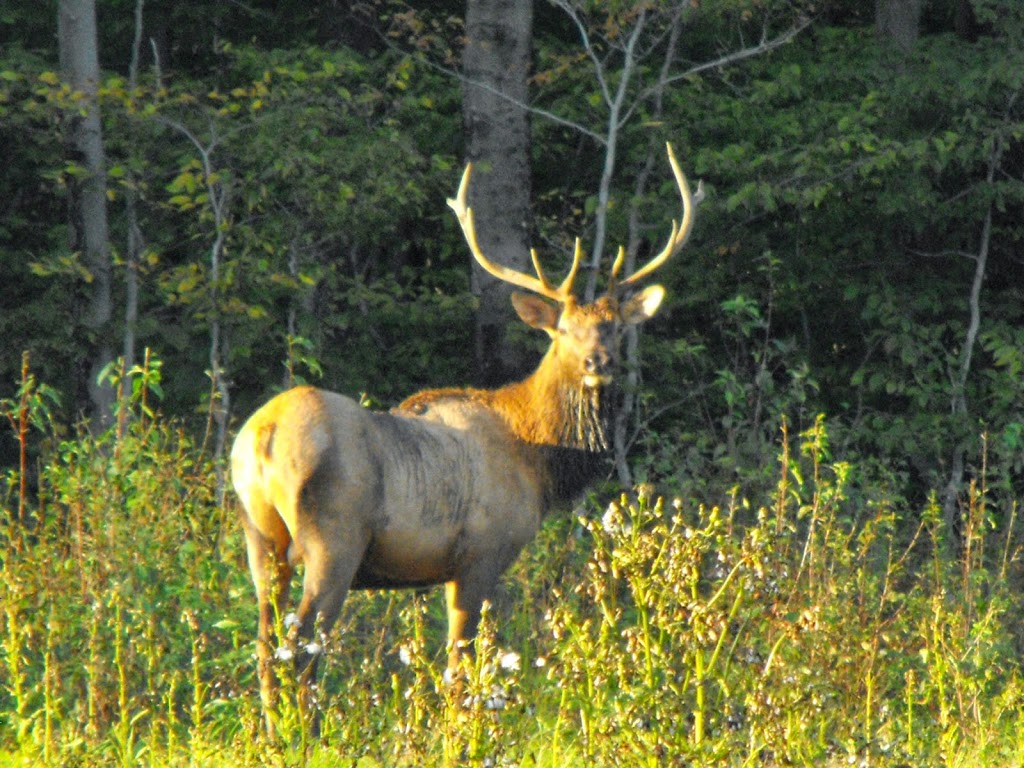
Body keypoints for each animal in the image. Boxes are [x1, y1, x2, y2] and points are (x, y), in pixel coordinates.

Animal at [230, 141, 696, 737]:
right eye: (563, 331)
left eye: (614, 326)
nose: (599, 362)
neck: (539, 459)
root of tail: (259, 439)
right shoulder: (482, 552)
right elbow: (462, 669)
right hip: (333, 539)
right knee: (302, 649)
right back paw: (304, 739)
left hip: (259, 539)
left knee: (266, 649)